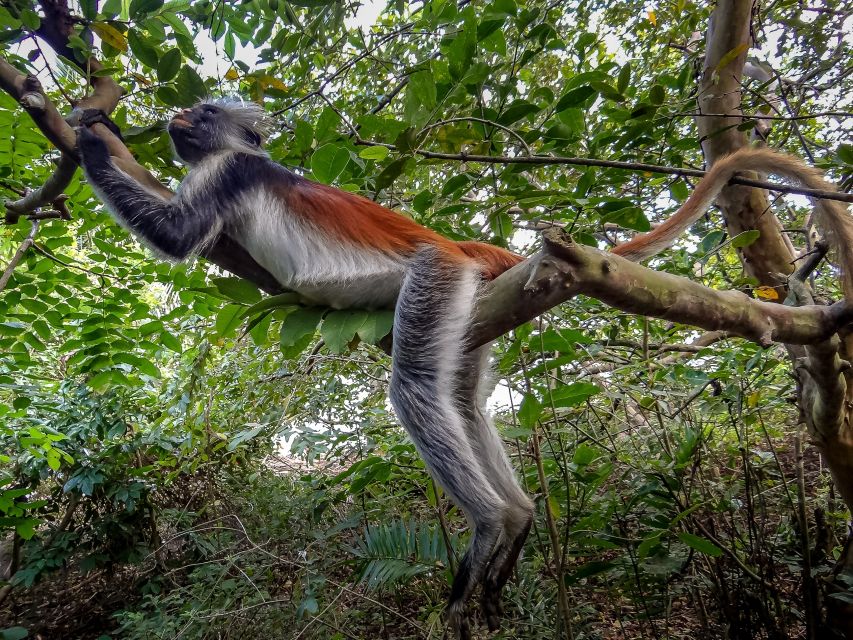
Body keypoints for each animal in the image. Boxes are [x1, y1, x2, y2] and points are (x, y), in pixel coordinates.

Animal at [76, 97, 852, 636]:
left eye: (204, 116)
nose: (178, 117)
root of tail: (460, 244)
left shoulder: (226, 170)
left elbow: (177, 234)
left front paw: (90, 133)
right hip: (472, 305)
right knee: (463, 399)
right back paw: (516, 522)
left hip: (436, 275)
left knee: (418, 388)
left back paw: (489, 525)